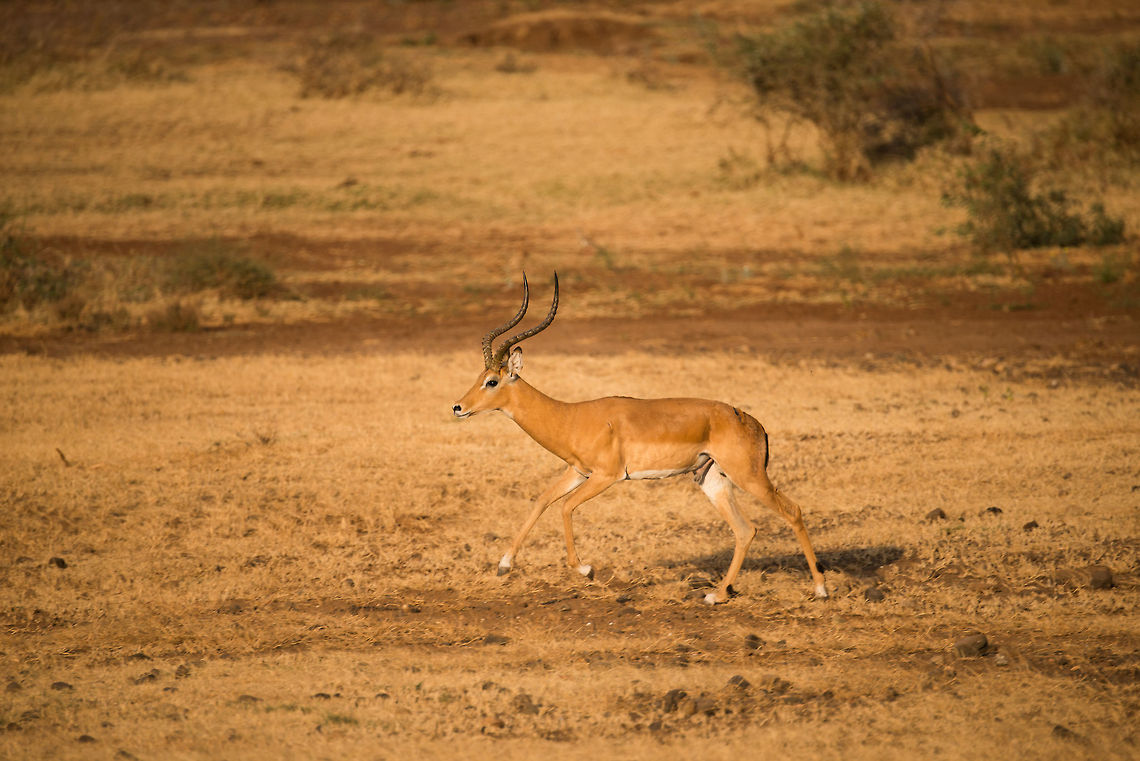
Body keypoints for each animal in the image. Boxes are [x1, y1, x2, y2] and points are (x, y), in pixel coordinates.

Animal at [451, 274, 828, 604]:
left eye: (492, 381)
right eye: (480, 375)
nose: (458, 407)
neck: (571, 417)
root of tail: (753, 423)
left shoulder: (607, 476)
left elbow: (565, 506)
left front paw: (586, 569)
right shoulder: (577, 471)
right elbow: (543, 500)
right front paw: (503, 565)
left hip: (749, 476)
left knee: (792, 511)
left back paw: (821, 590)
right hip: (713, 480)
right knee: (745, 529)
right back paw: (717, 595)